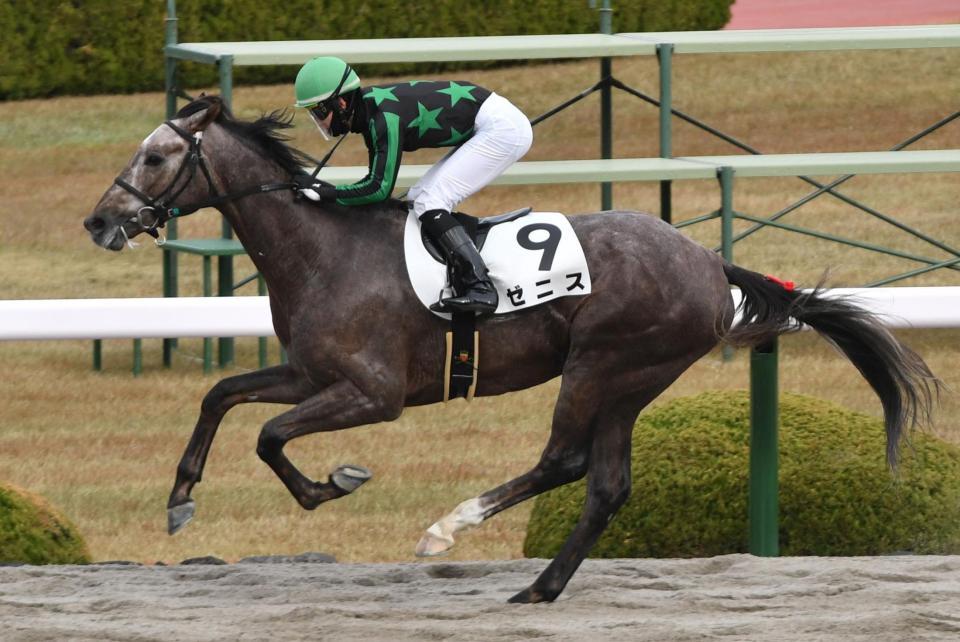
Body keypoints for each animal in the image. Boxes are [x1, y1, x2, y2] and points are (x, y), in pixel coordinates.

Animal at [84, 96, 937, 603]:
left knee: (565, 461)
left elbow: (267, 435)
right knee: (607, 484)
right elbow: (223, 396)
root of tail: (707, 260)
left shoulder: (372, 394)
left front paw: (332, 484)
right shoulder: (310, 372)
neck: (321, 250)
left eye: (155, 156)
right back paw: (542, 587)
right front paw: (181, 497)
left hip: (603, 363)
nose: (99, 222)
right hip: (632, 380)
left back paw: (449, 528)